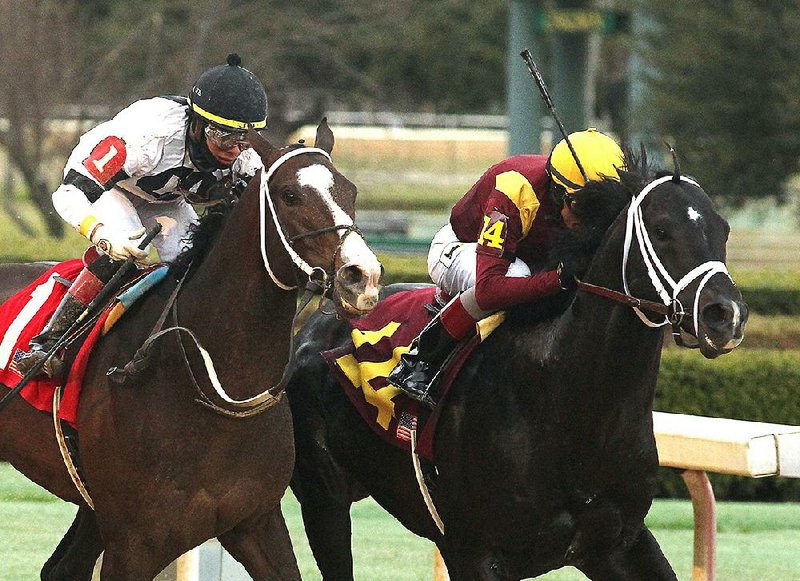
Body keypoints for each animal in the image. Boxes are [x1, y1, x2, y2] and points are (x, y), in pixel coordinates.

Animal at [0, 120, 384, 576]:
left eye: (350, 191)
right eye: (290, 195)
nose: (362, 277)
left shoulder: (256, 523)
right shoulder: (133, 544)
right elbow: (80, 193)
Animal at [284, 156, 748, 576]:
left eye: (723, 229)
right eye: (663, 231)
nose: (724, 315)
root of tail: (319, 323)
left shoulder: (618, 544)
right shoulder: (473, 551)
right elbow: (490, 283)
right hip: (323, 500)